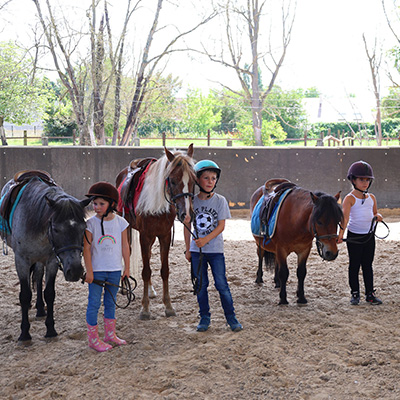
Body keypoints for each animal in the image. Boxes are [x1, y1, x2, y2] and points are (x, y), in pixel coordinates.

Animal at [0, 172, 90, 340]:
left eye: (84, 227)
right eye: (55, 229)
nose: (75, 271)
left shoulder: (52, 260)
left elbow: (49, 293)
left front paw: (50, 329)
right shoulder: (21, 260)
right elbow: (25, 295)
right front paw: (24, 333)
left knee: (38, 275)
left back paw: (41, 309)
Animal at [115, 145, 195, 320]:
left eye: (193, 180)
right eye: (173, 180)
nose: (187, 214)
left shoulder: (164, 236)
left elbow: (164, 271)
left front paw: (169, 306)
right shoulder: (144, 237)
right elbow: (145, 271)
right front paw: (145, 309)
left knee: (149, 257)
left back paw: (151, 290)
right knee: (127, 251)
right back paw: (123, 287)